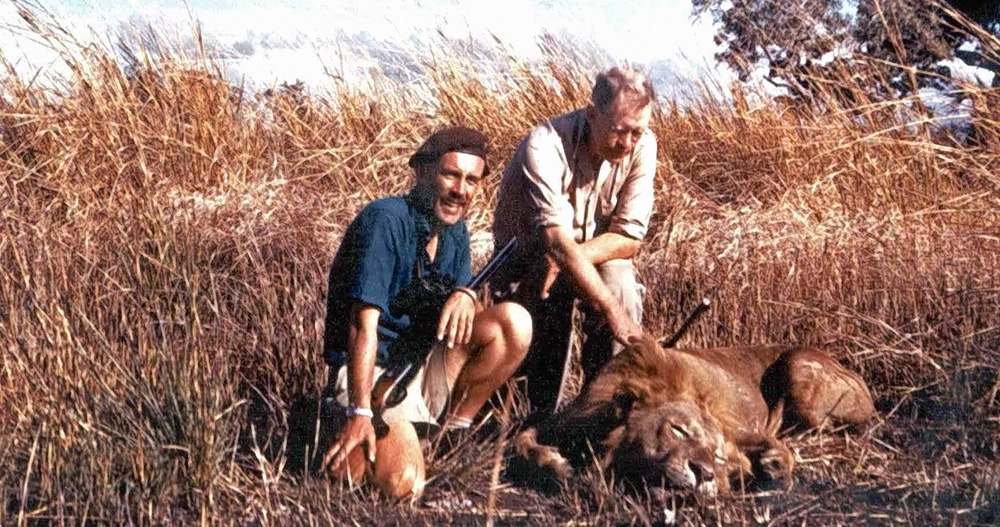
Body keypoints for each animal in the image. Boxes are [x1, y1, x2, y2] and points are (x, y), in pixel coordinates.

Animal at [516, 336, 876, 498]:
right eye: (678, 430)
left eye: (716, 454)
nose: (704, 474)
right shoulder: (559, 422)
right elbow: (522, 441)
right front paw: (556, 465)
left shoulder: (734, 428)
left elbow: (767, 443)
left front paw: (774, 465)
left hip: (796, 364)